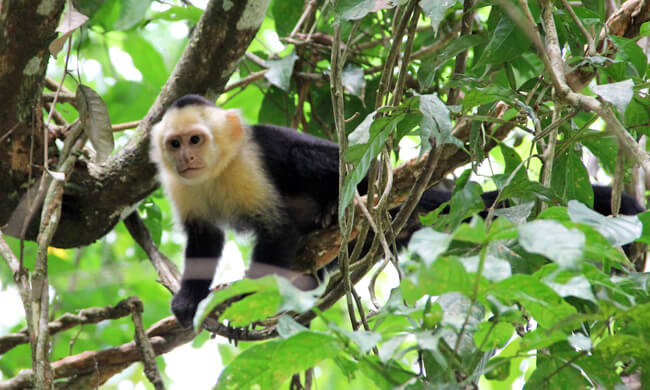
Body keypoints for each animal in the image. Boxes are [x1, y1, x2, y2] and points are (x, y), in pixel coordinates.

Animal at [151, 94, 644, 330]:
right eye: (174, 144)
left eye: (196, 139)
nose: (186, 157)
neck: (216, 170)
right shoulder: (178, 185)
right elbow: (203, 239)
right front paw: (189, 299)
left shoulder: (248, 164)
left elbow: (277, 231)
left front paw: (252, 296)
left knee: (322, 163)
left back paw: (338, 211)